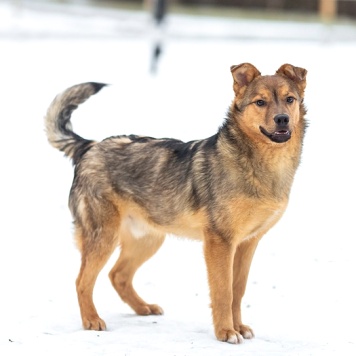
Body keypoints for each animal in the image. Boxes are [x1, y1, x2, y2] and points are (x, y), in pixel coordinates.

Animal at [43, 62, 306, 344]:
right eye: (260, 102)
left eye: (289, 99)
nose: (282, 119)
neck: (259, 164)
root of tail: (89, 147)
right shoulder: (220, 242)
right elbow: (223, 292)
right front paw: (226, 332)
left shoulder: (248, 243)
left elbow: (238, 290)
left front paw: (239, 327)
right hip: (104, 236)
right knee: (82, 281)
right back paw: (91, 320)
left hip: (148, 239)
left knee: (118, 275)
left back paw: (143, 308)